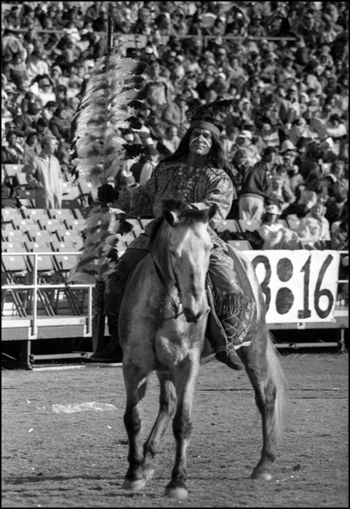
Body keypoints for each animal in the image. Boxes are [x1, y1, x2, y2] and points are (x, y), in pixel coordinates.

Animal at [119, 199, 286, 500]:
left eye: (209, 250)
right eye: (174, 252)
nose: (197, 310)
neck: (162, 307)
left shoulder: (188, 364)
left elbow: (183, 423)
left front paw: (178, 482)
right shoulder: (133, 365)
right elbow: (133, 418)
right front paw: (134, 474)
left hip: (253, 347)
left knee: (266, 395)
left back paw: (264, 465)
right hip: (164, 368)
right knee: (168, 403)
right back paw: (147, 461)